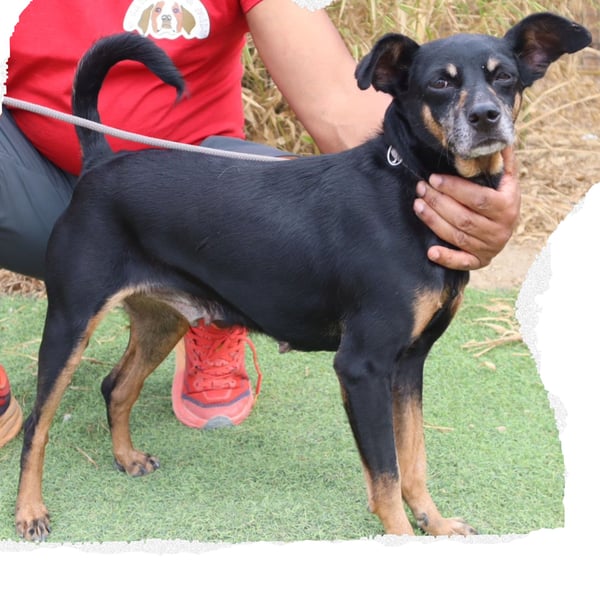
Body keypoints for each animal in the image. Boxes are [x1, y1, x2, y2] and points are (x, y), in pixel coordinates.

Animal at [15, 13, 591, 541]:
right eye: (439, 83)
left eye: (505, 77)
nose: (486, 116)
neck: (408, 183)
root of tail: (99, 166)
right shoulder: (362, 366)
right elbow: (386, 475)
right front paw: (404, 537)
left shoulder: (409, 365)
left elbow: (414, 460)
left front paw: (436, 523)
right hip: (70, 320)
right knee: (37, 424)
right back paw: (29, 510)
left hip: (163, 320)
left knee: (116, 386)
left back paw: (126, 457)